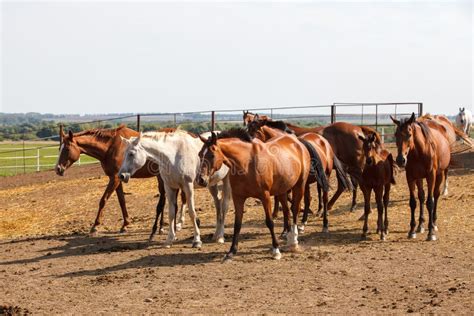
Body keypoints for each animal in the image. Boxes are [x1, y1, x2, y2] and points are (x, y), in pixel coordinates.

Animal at [54, 125, 182, 235]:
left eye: (67, 149)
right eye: (59, 149)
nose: (58, 169)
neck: (111, 147)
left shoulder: (115, 178)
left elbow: (103, 200)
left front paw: (95, 225)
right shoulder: (118, 179)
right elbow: (122, 201)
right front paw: (125, 224)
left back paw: (162, 227)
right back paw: (162, 227)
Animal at [196, 128, 312, 260]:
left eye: (212, 155)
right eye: (200, 154)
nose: (201, 180)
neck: (247, 163)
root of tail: (298, 142)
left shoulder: (265, 197)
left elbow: (270, 222)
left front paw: (276, 250)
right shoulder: (238, 198)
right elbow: (237, 224)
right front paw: (231, 251)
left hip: (300, 185)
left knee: (295, 209)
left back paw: (294, 241)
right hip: (282, 190)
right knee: (287, 211)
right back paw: (288, 237)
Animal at [390, 112, 450, 241]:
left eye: (409, 134)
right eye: (396, 134)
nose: (400, 160)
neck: (419, 151)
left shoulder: (431, 176)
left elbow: (430, 202)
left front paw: (431, 233)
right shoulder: (411, 177)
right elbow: (413, 202)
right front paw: (412, 230)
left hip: (439, 174)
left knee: (436, 195)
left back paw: (434, 223)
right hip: (419, 178)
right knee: (421, 196)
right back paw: (421, 225)